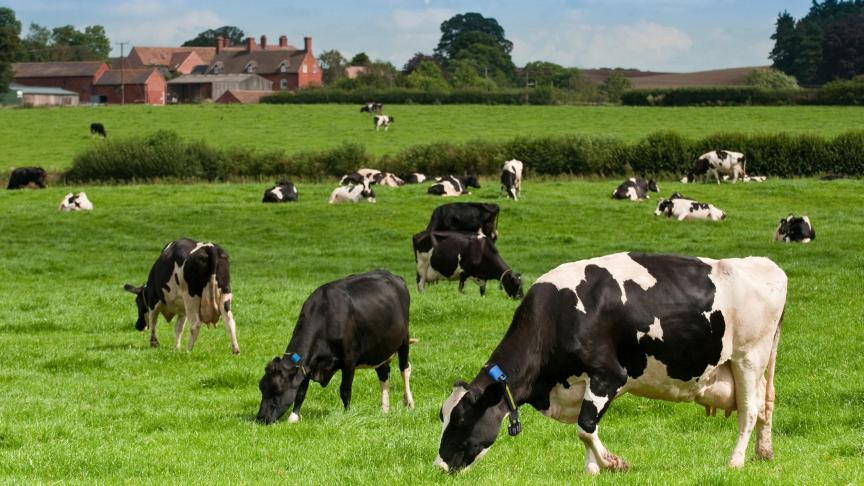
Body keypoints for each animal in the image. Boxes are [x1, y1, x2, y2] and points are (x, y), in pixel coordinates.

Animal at [256, 270, 414, 424]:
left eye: (278, 390)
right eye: (261, 388)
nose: (261, 419)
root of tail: (395, 277)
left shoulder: (349, 360)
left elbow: (345, 390)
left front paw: (348, 414)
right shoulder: (307, 364)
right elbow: (301, 391)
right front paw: (294, 417)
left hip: (404, 339)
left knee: (404, 369)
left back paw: (409, 403)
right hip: (379, 349)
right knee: (384, 374)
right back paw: (384, 409)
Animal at [435, 252, 787, 474]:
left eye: (461, 418)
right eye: (443, 415)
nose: (438, 466)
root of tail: (766, 265)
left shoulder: (608, 374)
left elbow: (585, 427)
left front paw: (613, 464)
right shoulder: (585, 384)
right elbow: (589, 426)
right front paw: (592, 469)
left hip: (748, 359)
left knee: (749, 411)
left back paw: (735, 462)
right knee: (765, 406)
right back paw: (764, 453)